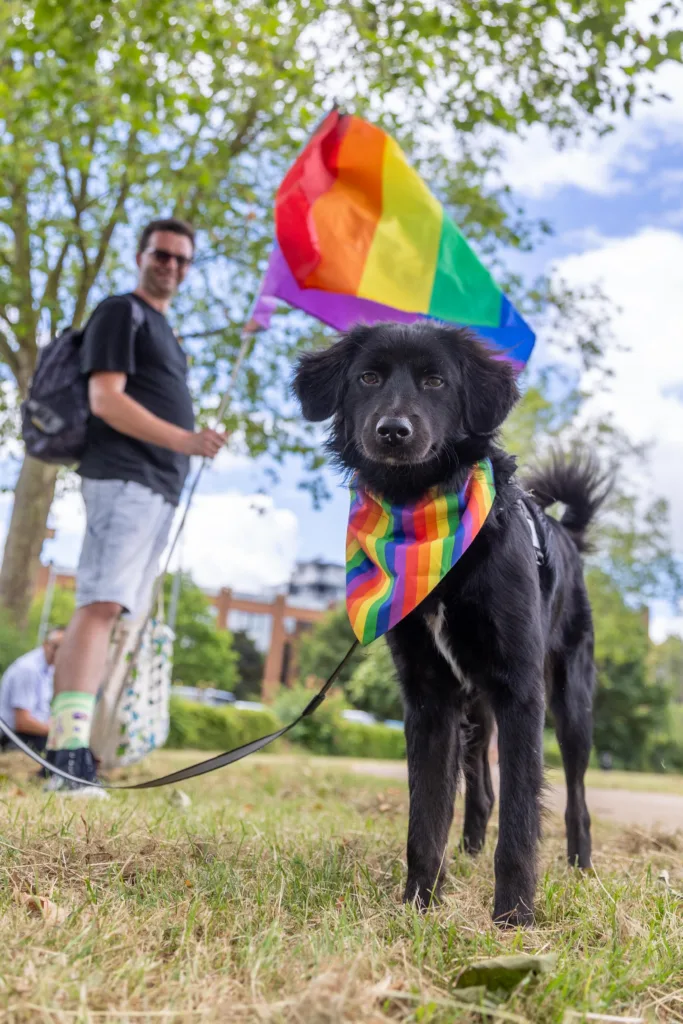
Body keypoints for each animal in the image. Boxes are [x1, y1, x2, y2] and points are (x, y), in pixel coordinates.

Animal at [294, 321, 610, 929]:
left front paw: (513, 918)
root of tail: (564, 531)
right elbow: (427, 815)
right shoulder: (429, 696)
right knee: (481, 791)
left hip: (572, 706)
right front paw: (420, 902)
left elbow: (521, 820)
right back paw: (467, 853)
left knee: (578, 796)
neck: (423, 514)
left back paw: (581, 866)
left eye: (435, 381)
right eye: (369, 377)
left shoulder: (521, 691)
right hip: (476, 709)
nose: (393, 432)